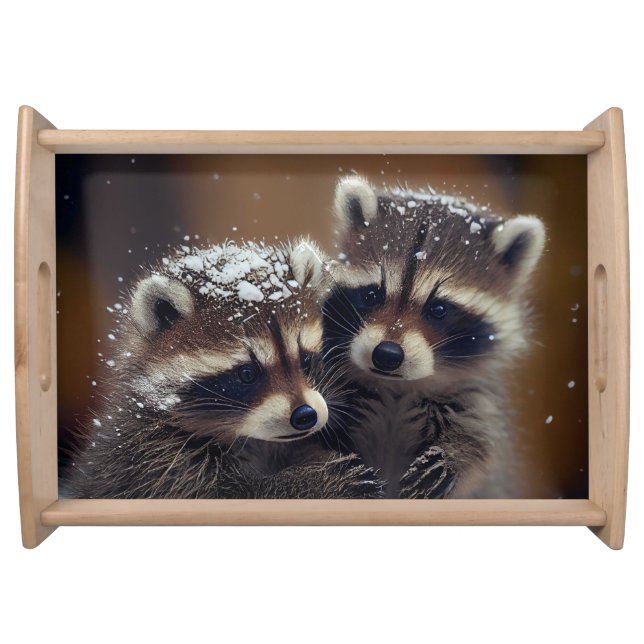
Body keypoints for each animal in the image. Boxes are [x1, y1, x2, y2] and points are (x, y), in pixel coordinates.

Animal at [65, 238, 382, 499]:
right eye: (247, 374)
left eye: (305, 360)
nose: (306, 416)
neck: (252, 440)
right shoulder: (153, 460)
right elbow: (234, 495)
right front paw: (312, 481)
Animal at [323, 177, 546, 498]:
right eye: (372, 295)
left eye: (438, 309)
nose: (386, 355)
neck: (397, 389)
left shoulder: (474, 399)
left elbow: (480, 443)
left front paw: (455, 454)